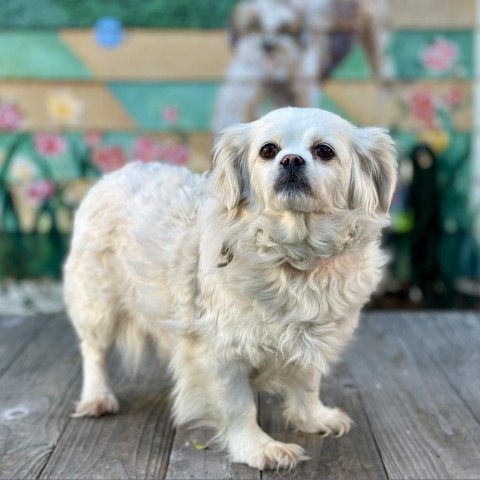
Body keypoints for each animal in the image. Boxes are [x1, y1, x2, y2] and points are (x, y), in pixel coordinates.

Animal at [66, 107, 398, 470]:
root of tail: (113, 176)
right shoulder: (220, 353)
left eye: (324, 151)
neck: (295, 258)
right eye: (268, 150)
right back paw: (97, 398)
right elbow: (239, 406)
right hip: (97, 306)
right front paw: (259, 448)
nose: (291, 160)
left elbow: (307, 384)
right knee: (93, 353)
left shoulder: (310, 340)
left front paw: (313, 418)